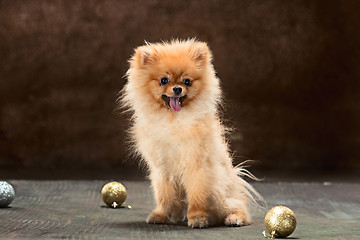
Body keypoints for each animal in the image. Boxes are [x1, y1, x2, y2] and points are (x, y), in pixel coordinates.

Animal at [121, 38, 262, 228]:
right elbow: (164, 196)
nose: (177, 89)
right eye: (164, 80)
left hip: (221, 192)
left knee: (238, 206)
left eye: (187, 81)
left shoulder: (197, 165)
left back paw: (234, 218)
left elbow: (197, 194)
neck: (173, 119)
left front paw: (198, 217)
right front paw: (161, 215)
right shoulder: (162, 169)